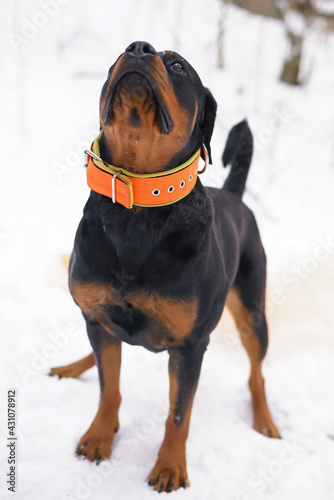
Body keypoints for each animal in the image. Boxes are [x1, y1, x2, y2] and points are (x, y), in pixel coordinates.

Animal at [49, 40, 280, 492]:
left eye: (178, 66)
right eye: (116, 58)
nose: (139, 48)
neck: (138, 201)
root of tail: (234, 195)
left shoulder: (191, 347)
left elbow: (178, 414)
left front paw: (170, 467)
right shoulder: (97, 315)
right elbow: (108, 389)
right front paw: (99, 438)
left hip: (252, 310)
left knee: (257, 373)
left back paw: (264, 422)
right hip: (100, 322)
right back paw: (73, 366)